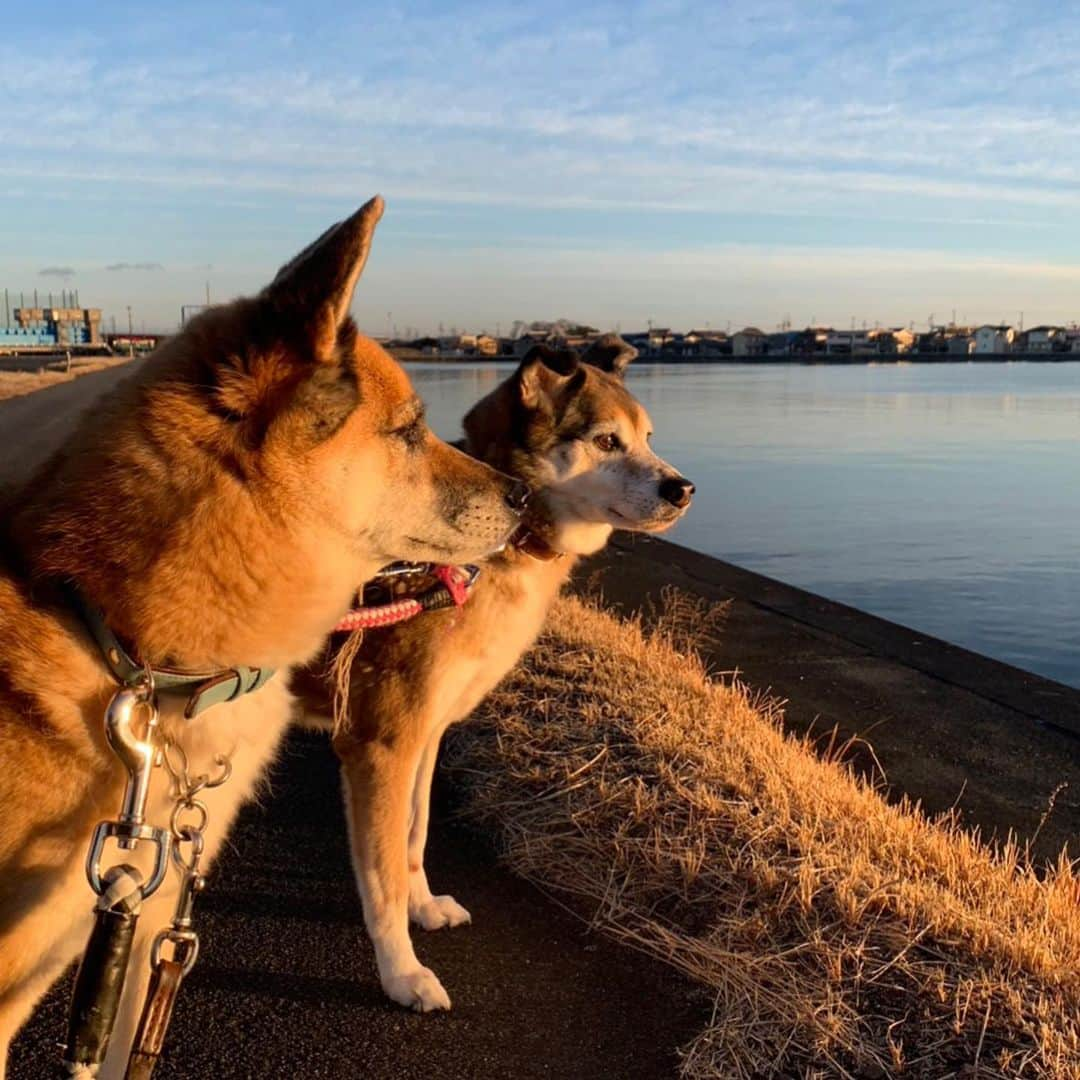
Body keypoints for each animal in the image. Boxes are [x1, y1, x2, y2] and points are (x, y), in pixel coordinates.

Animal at [291, 336, 695, 1010]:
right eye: (607, 441)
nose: (682, 488)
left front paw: (425, 907)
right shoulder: (380, 746)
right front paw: (403, 973)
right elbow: (382, 878)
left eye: (648, 437)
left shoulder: (425, 736)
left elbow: (414, 838)